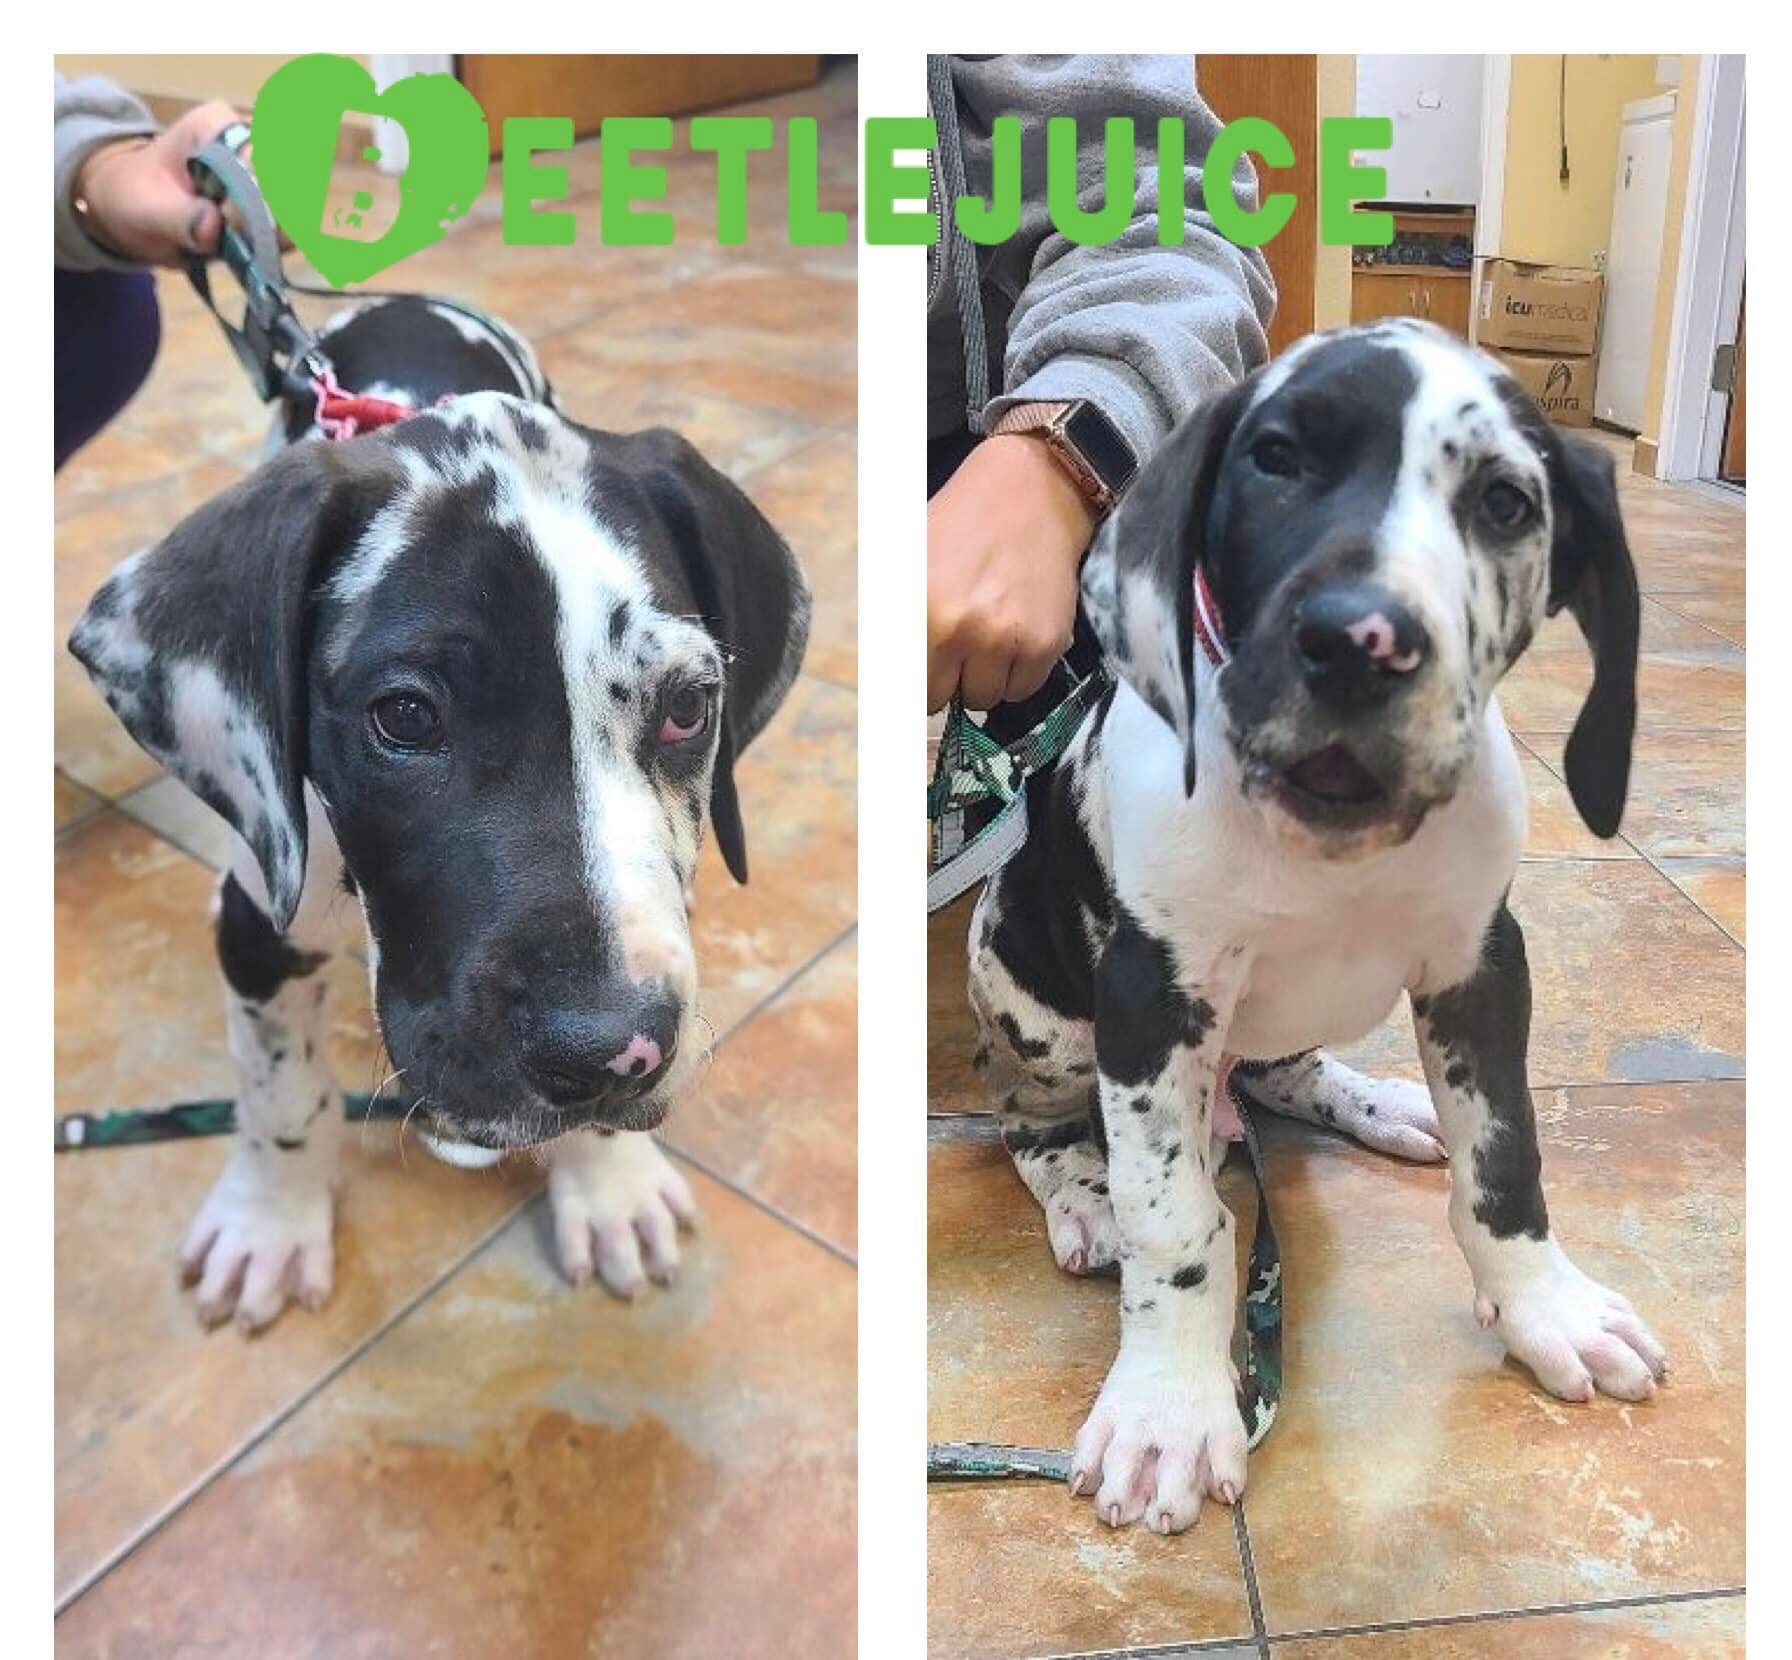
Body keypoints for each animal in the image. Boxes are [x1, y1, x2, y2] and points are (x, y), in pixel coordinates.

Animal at [70, 296, 809, 1331]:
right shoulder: (256, 926)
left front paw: (607, 1182)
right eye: (406, 717)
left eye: (689, 706)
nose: (605, 1054)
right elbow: (281, 1093)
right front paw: (272, 1222)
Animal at [966, 319, 1664, 1536]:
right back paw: (1087, 1198)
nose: (1360, 641)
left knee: (1282, 1075)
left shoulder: (1484, 966)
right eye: (1277, 458)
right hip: (1023, 987)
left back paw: (1376, 1101)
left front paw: (1546, 1307)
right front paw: (1167, 1407)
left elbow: (1505, 1163)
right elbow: (1178, 1224)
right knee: (1036, 1126)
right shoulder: (1150, 997)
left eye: (1504, 503)